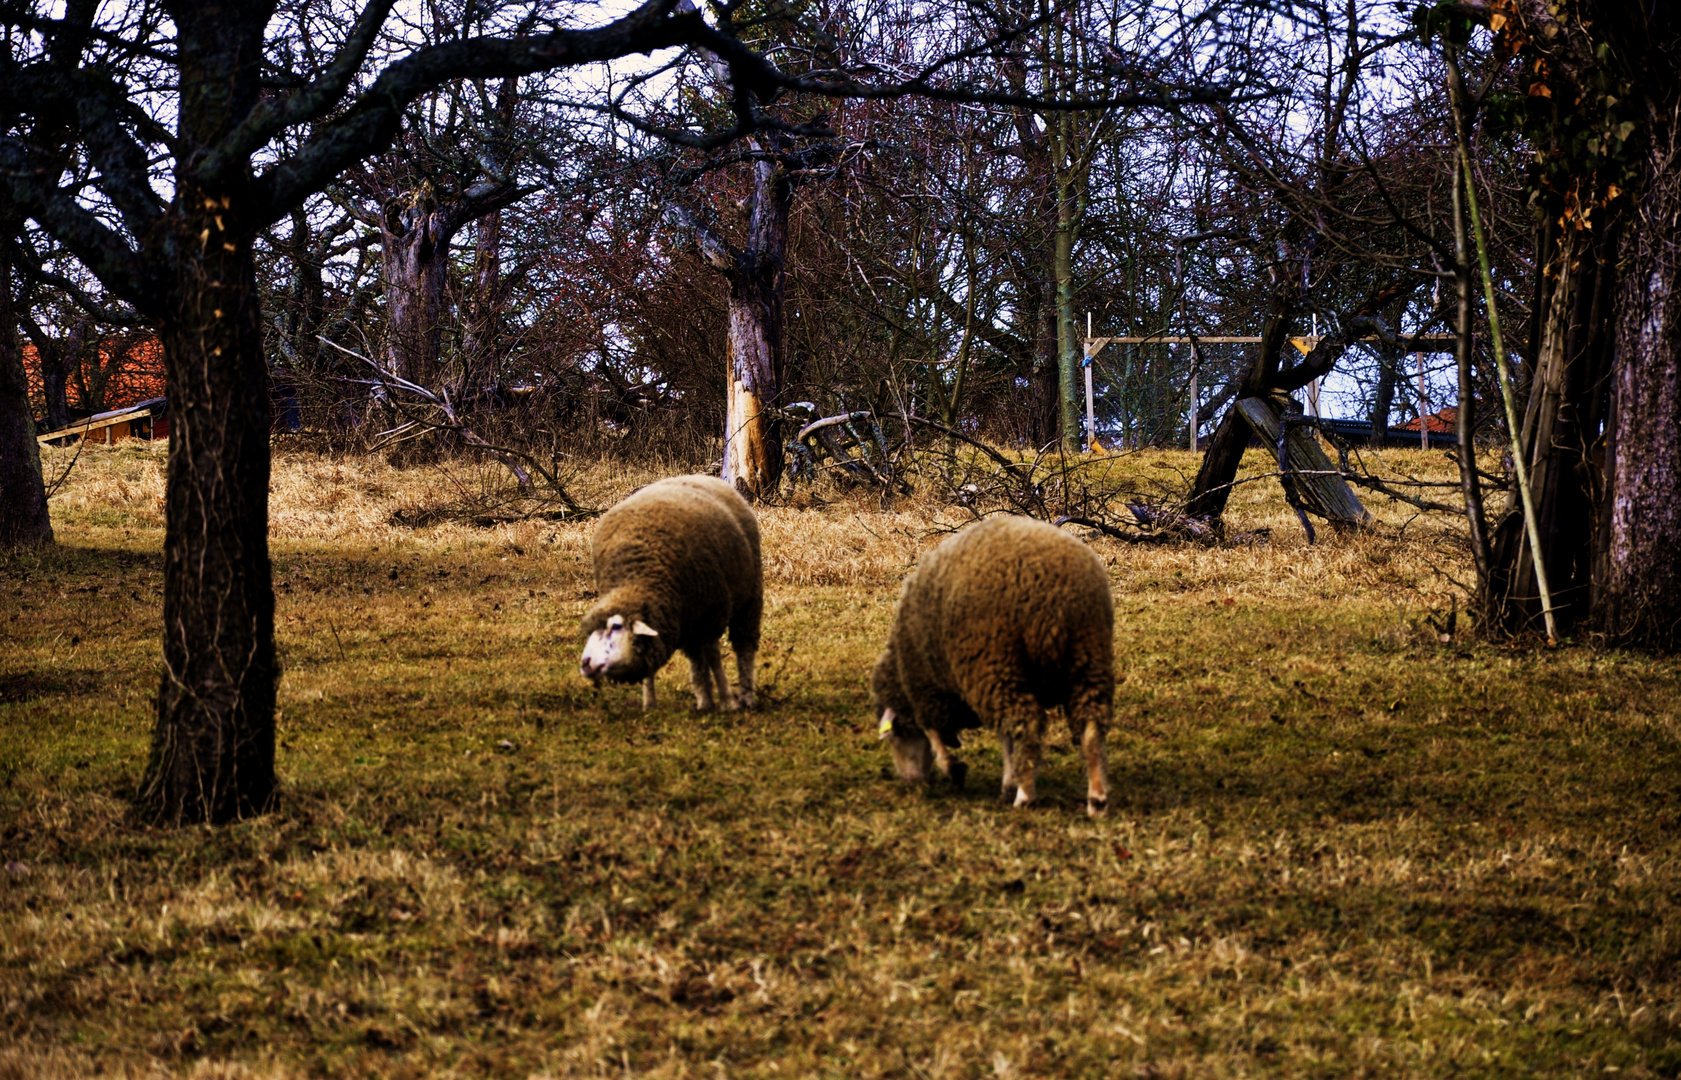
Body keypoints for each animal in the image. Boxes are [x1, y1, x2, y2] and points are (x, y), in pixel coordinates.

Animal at [578, 474, 763, 709]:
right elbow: (651, 661)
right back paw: (704, 701)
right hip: (691, 617)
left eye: (617, 627)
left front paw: (728, 701)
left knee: (744, 645)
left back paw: (746, 696)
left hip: (749, 596)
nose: (586, 663)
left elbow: (714, 658)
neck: (637, 580)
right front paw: (649, 705)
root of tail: (698, 475)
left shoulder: (712, 615)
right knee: (696, 655)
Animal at [867, 518, 1116, 810]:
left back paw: (1026, 796)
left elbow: (934, 732)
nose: (911, 781)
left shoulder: (931, 687)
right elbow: (1005, 738)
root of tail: (1056, 603)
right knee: (1090, 725)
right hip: (1088, 656)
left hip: (998, 662)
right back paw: (1096, 799)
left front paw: (955, 769)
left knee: (1027, 726)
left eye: (893, 737)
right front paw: (1008, 781)